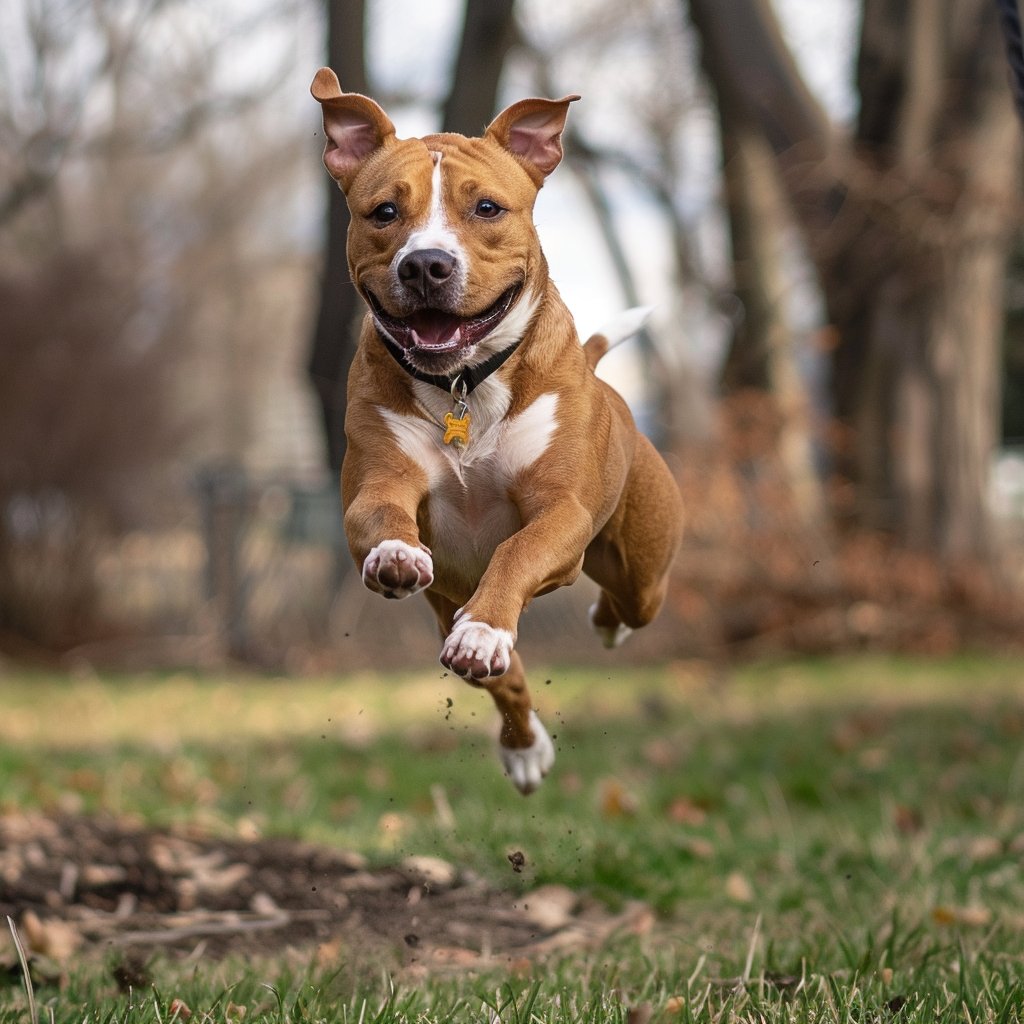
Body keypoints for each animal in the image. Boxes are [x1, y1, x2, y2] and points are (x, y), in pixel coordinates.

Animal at [307, 70, 684, 790]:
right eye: (383, 213)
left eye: (486, 207)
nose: (425, 264)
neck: (463, 384)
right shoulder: (378, 483)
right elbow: (383, 518)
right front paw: (397, 557)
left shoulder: (560, 511)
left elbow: (517, 551)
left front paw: (487, 626)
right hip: (446, 605)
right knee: (503, 674)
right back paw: (522, 740)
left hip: (643, 563)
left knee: (629, 602)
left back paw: (581, 626)